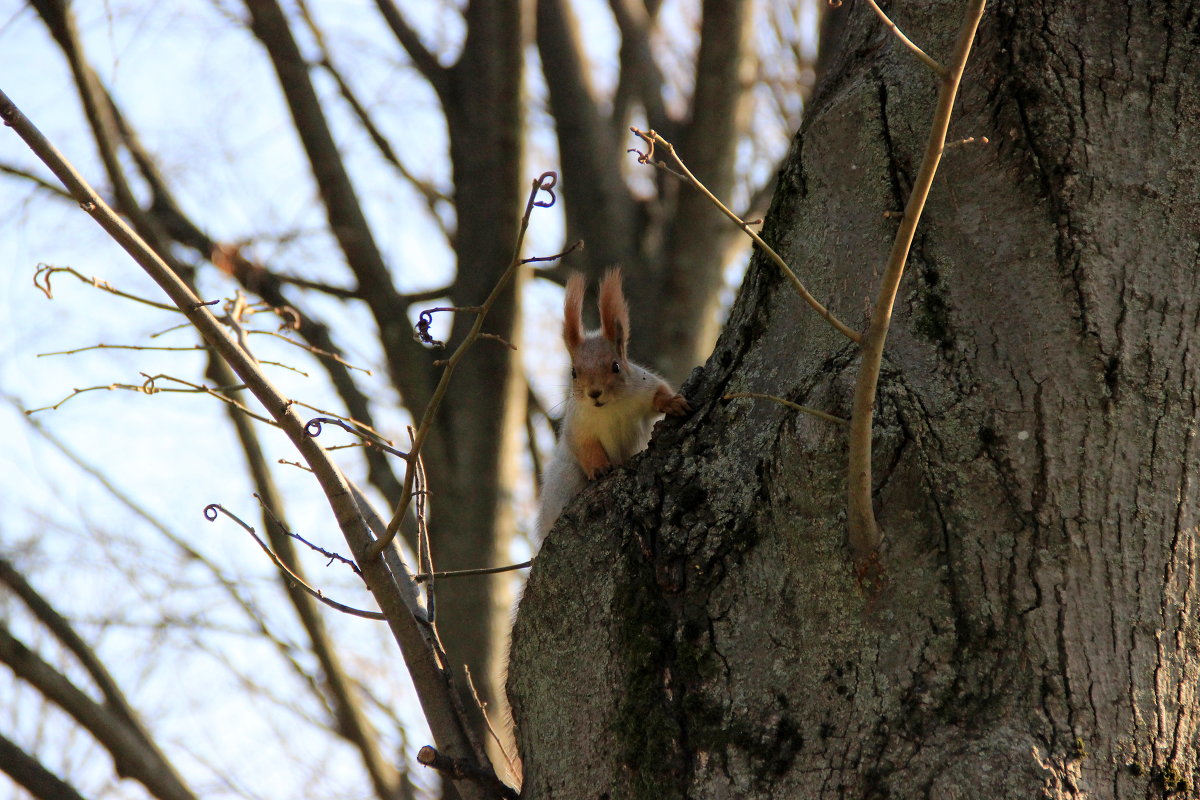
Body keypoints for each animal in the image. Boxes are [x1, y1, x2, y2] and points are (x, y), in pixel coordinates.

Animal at [537, 272, 696, 542]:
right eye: (574, 373)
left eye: (616, 366)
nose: (594, 393)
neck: (609, 409)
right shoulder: (577, 424)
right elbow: (584, 445)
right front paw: (599, 467)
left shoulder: (644, 385)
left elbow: (659, 393)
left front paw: (672, 403)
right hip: (566, 478)